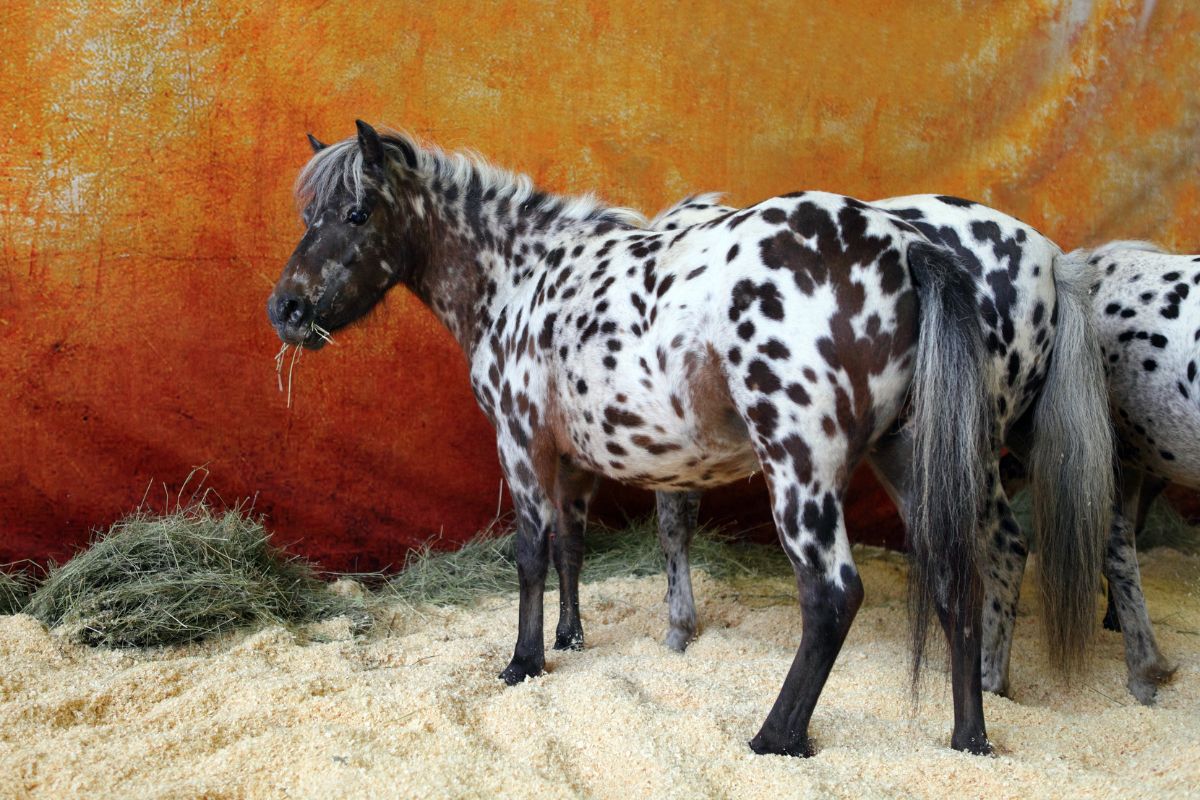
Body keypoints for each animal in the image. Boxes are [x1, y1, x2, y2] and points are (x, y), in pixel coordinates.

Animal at [272, 120, 1113, 758]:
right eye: (309, 216)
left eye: (357, 214)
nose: (286, 309)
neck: (521, 276)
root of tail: (910, 248)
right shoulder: (575, 460)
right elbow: (573, 547)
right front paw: (572, 639)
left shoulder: (523, 444)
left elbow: (532, 555)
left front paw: (523, 662)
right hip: (911, 461)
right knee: (956, 580)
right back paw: (970, 736)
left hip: (804, 472)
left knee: (834, 594)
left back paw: (776, 737)